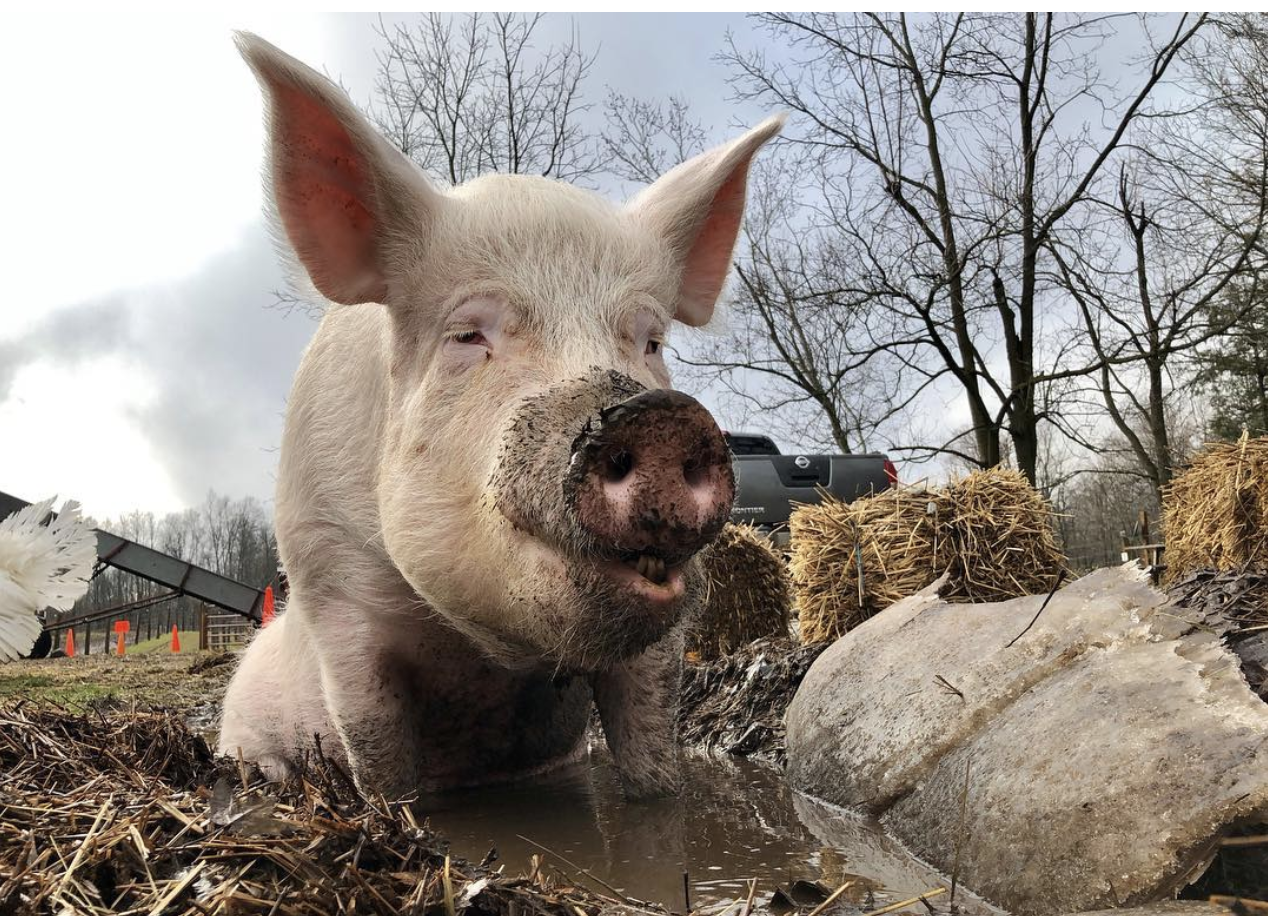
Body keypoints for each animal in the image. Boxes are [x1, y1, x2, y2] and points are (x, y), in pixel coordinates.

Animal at [217, 32, 782, 800]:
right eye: (466, 334)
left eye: (652, 342)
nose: (657, 415)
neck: (481, 655)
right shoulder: (331, 585)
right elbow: (379, 758)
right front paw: (400, 812)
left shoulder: (658, 640)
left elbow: (651, 755)